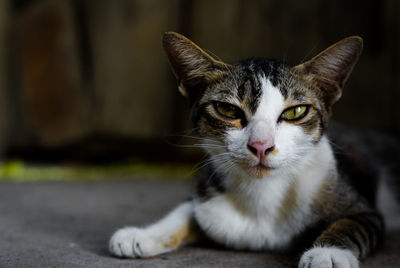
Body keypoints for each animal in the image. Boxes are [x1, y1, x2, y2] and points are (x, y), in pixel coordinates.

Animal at [108, 31, 390, 268]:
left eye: (296, 111)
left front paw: (328, 253)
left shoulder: (360, 206)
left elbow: (353, 223)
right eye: (227, 109)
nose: (261, 145)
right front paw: (144, 234)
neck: (263, 193)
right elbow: (187, 209)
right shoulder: (209, 197)